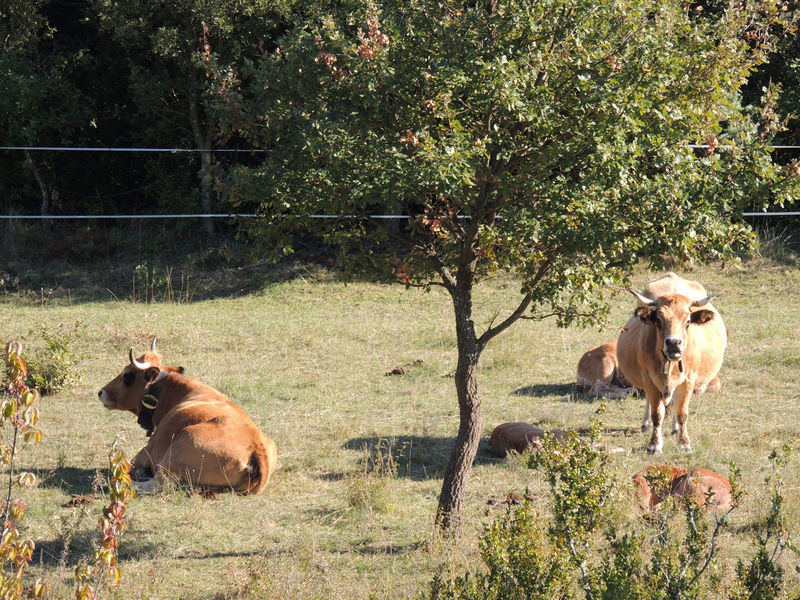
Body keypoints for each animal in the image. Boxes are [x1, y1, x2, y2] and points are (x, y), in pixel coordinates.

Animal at [97, 340, 276, 494]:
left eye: (127, 375)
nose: (101, 392)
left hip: (178, 449)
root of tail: (256, 444)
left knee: (157, 484)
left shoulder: (146, 452)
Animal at [616, 274, 728, 454]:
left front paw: (684, 443)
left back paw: (675, 427)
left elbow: (682, 413)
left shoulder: (688, 380)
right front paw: (654, 444)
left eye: (687, 321)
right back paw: (645, 424)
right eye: (659, 321)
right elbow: (657, 414)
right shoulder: (649, 380)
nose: (674, 343)